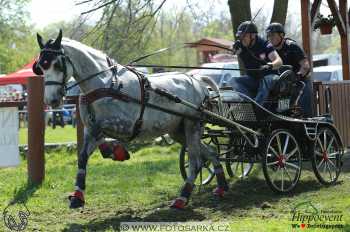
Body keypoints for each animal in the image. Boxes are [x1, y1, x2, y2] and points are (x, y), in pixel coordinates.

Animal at [32, 29, 230, 209]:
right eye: (41, 67)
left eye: (57, 65)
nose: (51, 100)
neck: (105, 84)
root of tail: (197, 81)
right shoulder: (90, 128)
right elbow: (82, 157)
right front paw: (77, 196)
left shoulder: (122, 125)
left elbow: (105, 137)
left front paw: (117, 151)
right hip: (178, 131)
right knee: (211, 152)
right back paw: (221, 186)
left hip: (192, 125)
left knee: (196, 161)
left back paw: (183, 197)